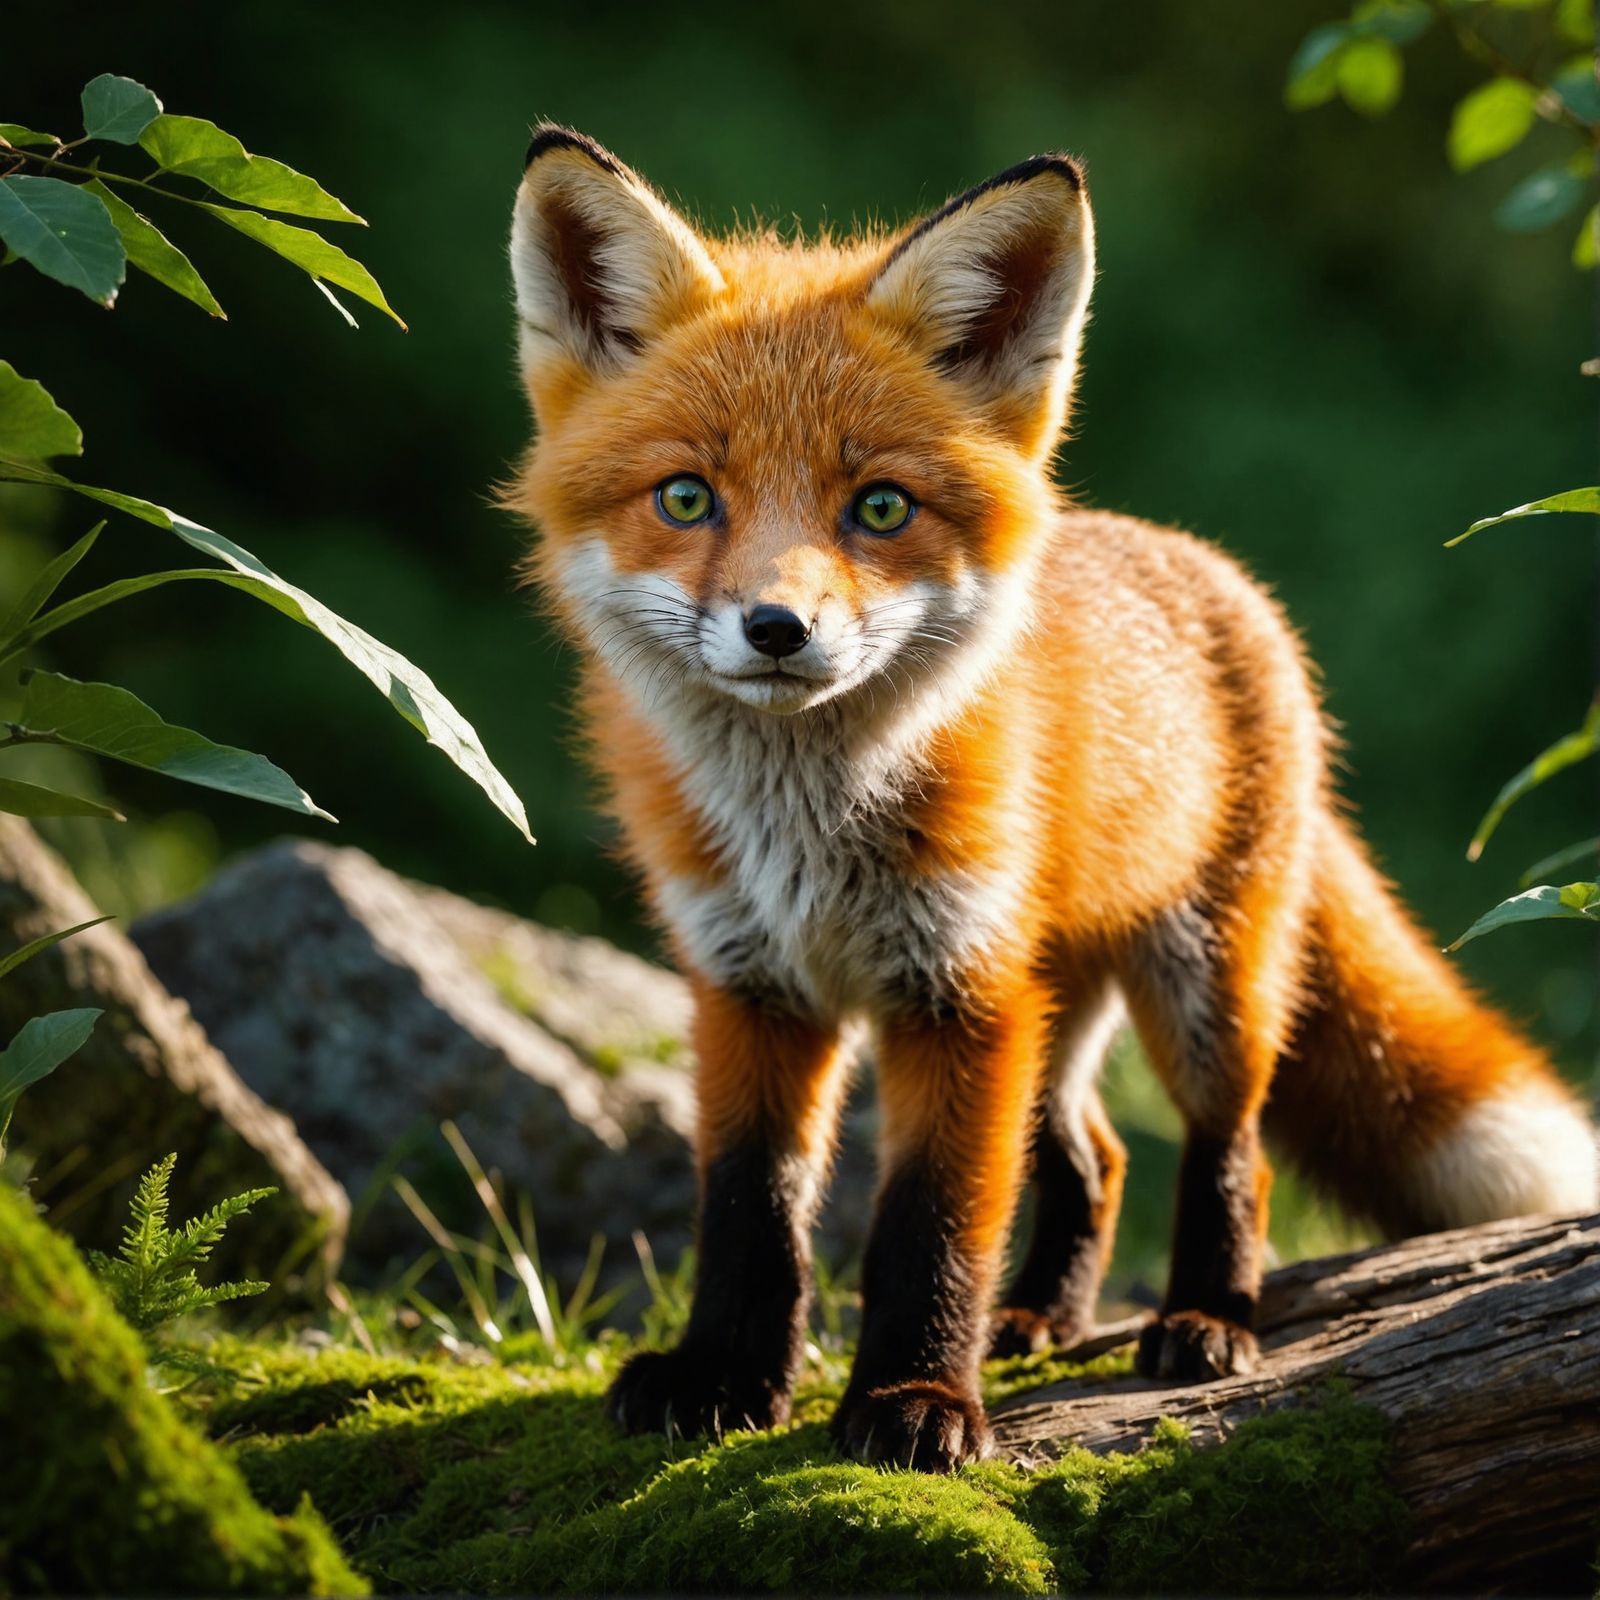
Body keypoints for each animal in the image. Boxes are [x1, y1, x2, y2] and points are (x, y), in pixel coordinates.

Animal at [505, 124, 1600, 1471]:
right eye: (685, 498)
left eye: (879, 507)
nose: (777, 628)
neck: (808, 836)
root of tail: (1199, 563)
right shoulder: (747, 986)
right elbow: (749, 1207)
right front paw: (723, 1376)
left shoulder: (961, 995)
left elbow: (931, 1224)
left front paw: (915, 1398)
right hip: (1062, 1002)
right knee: (1097, 1153)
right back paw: (1040, 1316)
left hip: (1203, 987)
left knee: (1226, 1153)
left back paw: (1203, 1320)